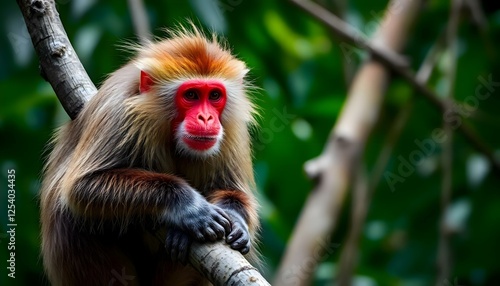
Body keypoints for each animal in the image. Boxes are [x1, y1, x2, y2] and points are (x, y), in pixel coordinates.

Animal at [39, 25, 260, 284]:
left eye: (214, 96)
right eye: (192, 95)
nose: (206, 118)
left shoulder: (233, 128)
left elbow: (234, 189)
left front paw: (235, 218)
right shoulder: (119, 112)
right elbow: (81, 188)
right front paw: (188, 205)